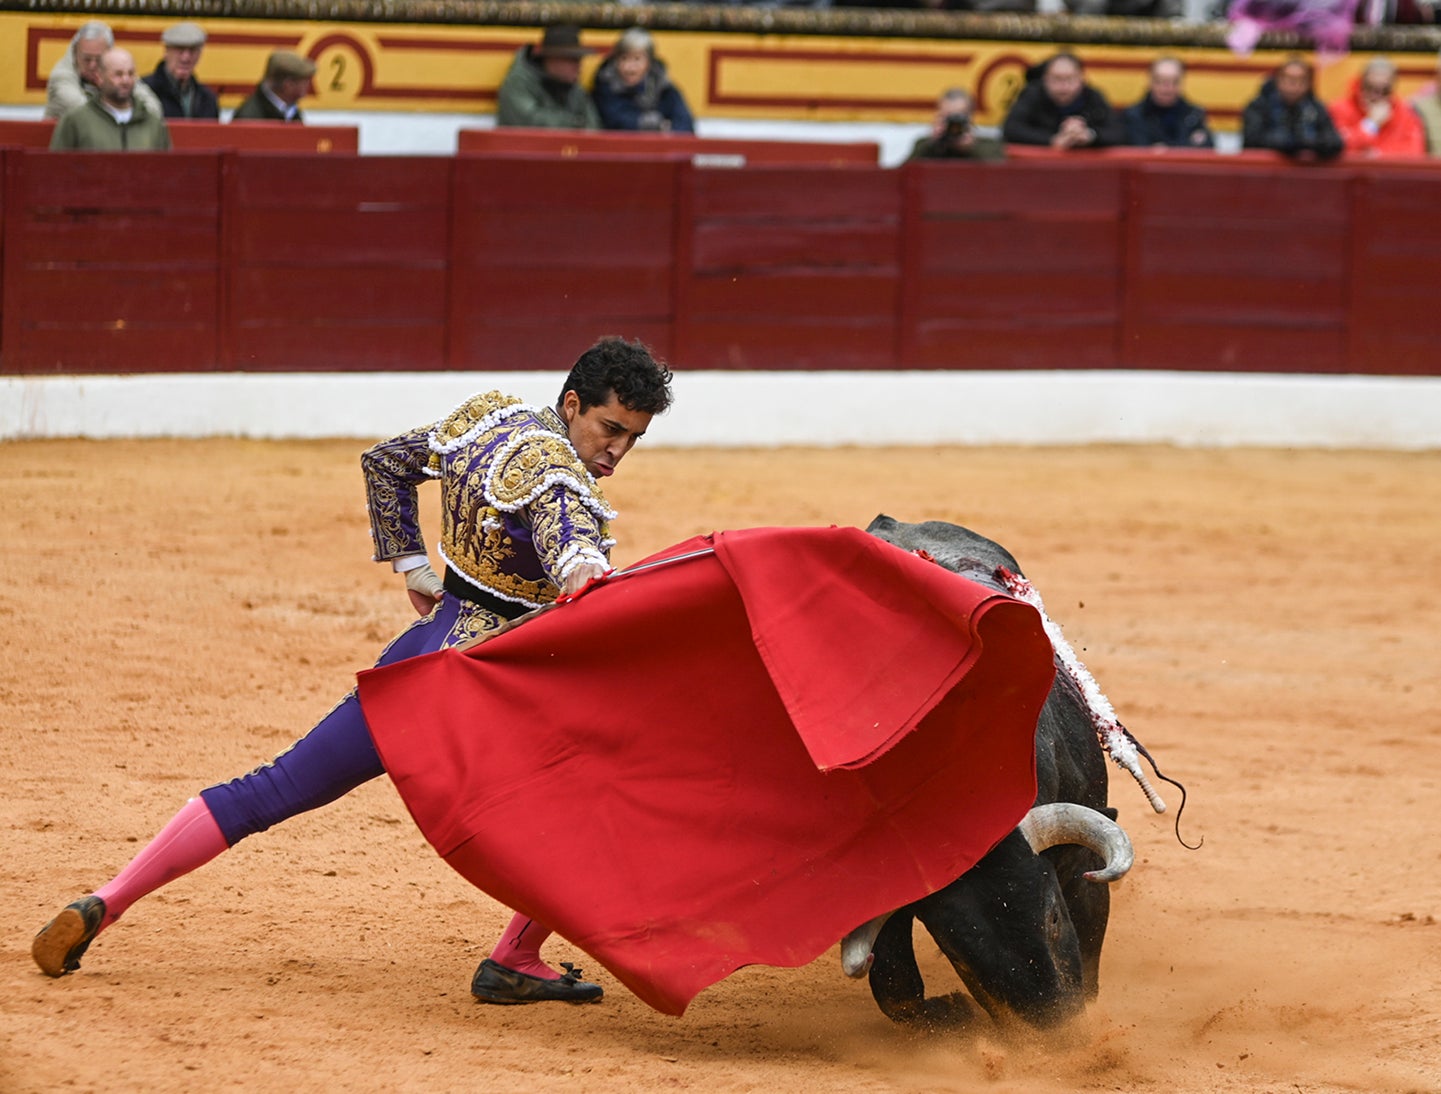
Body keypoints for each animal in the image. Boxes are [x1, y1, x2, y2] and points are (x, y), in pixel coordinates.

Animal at [841, 518, 1170, 1037]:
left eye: (1052, 917)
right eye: (960, 956)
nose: (1056, 1034)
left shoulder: (1081, 861)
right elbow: (894, 983)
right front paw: (949, 1013)